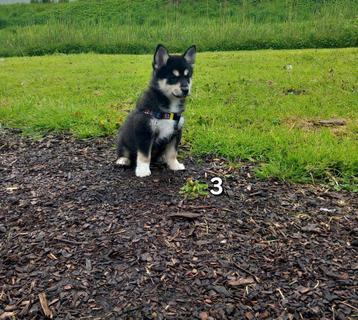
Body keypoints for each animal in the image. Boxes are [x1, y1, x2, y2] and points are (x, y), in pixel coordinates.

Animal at [116, 43, 197, 176]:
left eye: (187, 77)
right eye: (173, 78)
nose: (186, 89)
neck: (168, 107)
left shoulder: (176, 132)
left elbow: (172, 153)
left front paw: (174, 165)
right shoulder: (145, 131)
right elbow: (144, 155)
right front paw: (143, 170)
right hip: (124, 138)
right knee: (124, 150)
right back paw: (123, 160)